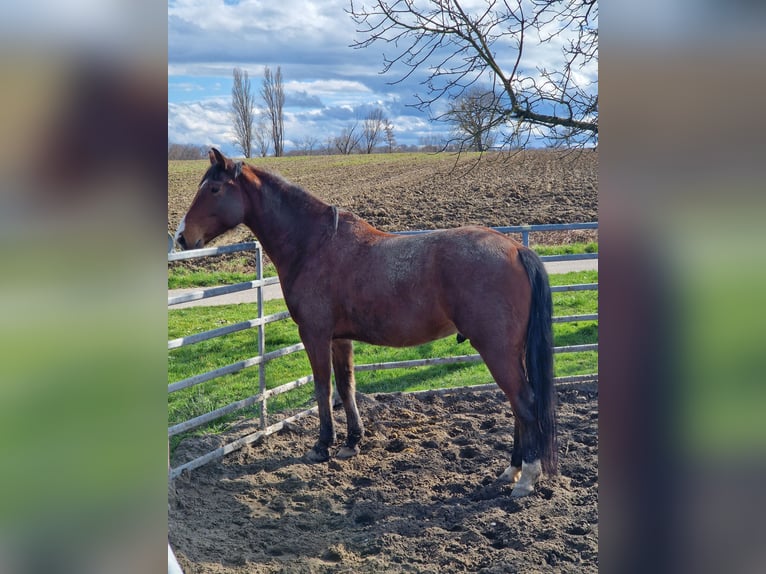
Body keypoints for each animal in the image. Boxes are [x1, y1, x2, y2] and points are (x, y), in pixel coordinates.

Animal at [175, 148, 557, 497]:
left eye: (214, 189)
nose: (181, 237)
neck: (314, 244)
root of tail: (515, 249)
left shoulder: (314, 334)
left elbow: (323, 387)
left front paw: (322, 446)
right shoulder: (339, 338)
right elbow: (346, 387)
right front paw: (351, 442)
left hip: (496, 350)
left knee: (523, 403)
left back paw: (526, 477)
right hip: (510, 352)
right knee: (517, 406)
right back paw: (510, 470)